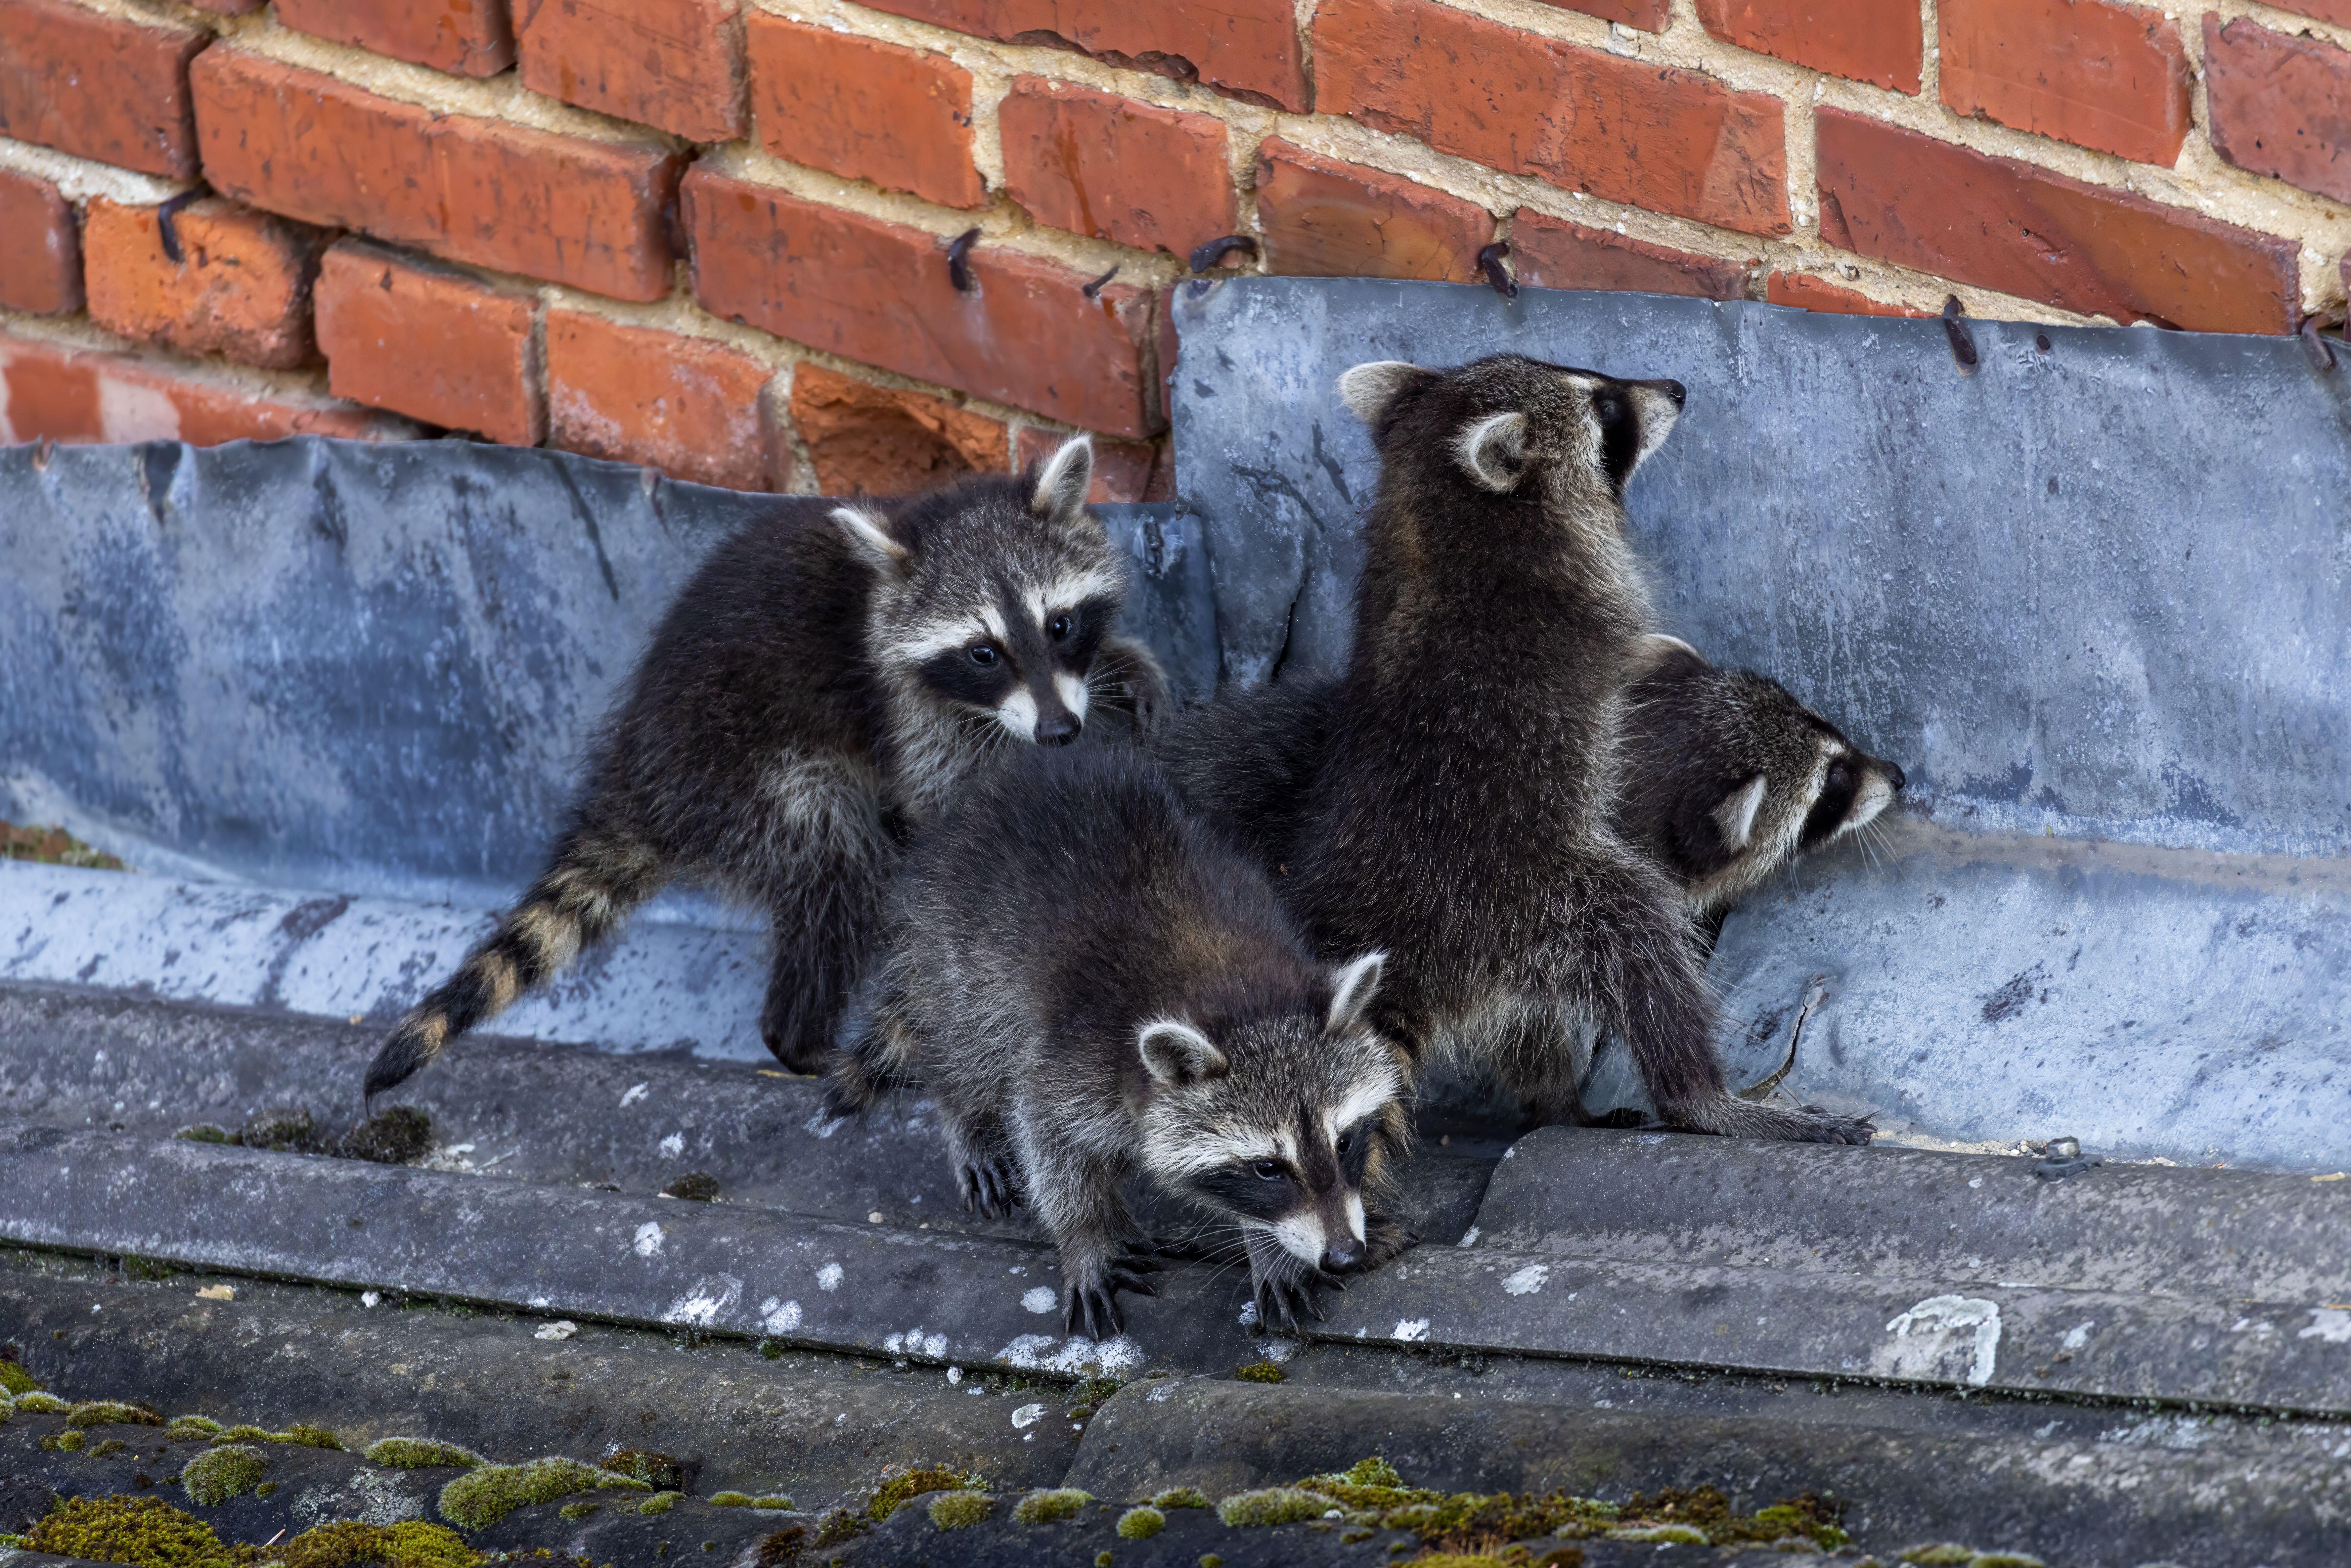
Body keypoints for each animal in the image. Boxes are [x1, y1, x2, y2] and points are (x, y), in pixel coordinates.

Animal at [362, 438, 1165, 1100]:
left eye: (1059, 624)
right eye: (983, 652)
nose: (1060, 731)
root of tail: (637, 779)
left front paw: (1120, 664)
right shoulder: (909, 716)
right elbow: (944, 814)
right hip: (749, 779)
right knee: (839, 868)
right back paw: (804, 1041)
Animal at [836, 746, 1409, 1338]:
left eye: (1345, 1142)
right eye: (1268, 1168)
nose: (1343, 1254)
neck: (1237, 989)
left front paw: (1269, 1247)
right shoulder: (1079, 1054)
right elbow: (1047, 1135)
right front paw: (1086, 1236)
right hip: (961, 947)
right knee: (967, 1046)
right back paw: (967, 1120)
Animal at [1283, 353, 1868, 1143]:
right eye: (1606, 411)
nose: (1676, 390)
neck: (1439, 519)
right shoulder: (1593, 606)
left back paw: (1562, 1101)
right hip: (1535, 899)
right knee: (1643, 946)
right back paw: (1705, 1097)